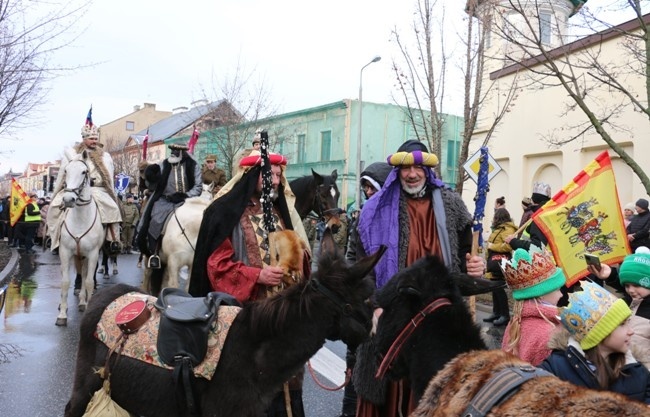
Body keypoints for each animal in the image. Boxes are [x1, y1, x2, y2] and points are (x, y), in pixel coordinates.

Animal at [56, 150, 104, 324]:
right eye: (65, 171)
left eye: (84, 172)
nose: (68, 199)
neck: (80, 220)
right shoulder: (65, 252)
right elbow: (64, 282)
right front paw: (62, 315)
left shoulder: (93, 254)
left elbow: (89, 282)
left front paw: (88, 306)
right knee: (80, 274)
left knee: (84, 276)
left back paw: (83, 302)